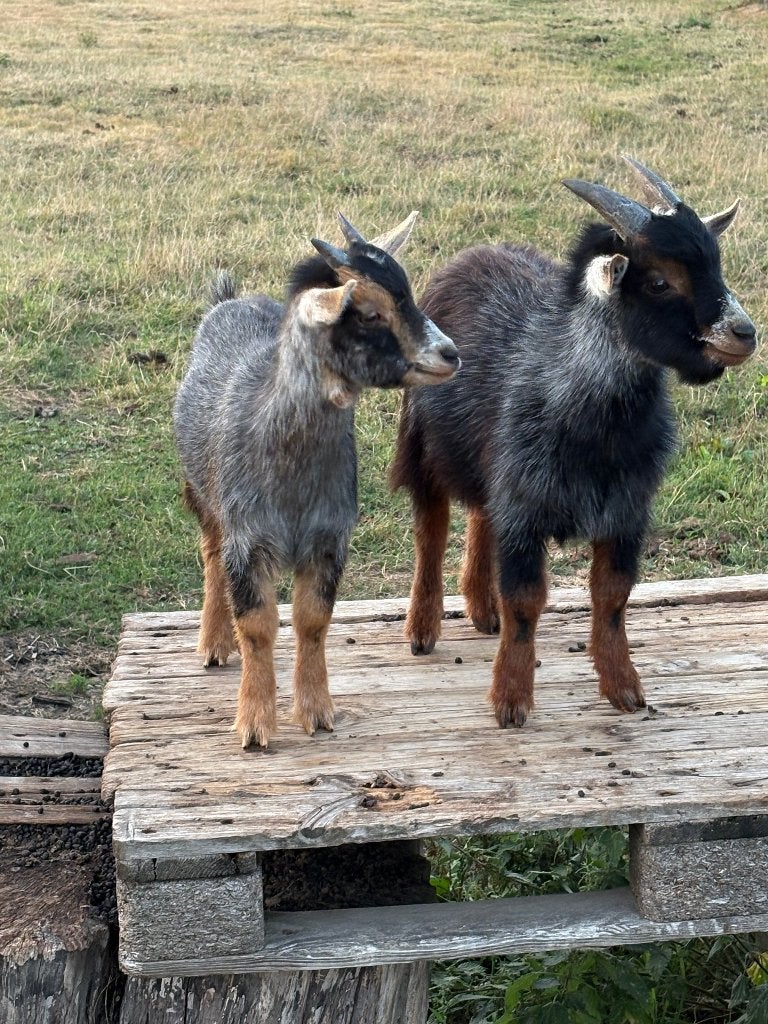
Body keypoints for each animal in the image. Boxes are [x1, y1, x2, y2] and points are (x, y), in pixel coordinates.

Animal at [174, 212, 460, 748]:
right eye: (368, 312)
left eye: (409, 290)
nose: (450, 354)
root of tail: (229, 301)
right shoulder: (249, 538)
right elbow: (258, 625)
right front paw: (254, 725)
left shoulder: (329, 538)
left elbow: (312, 621)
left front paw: (317, 712)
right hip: (201, 493)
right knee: (210, 553)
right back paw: (215, 643)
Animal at [391, 158, 756, 728]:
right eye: (658, 280)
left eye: (716, 265)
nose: (744, 333)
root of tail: (472, 253)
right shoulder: (524, 504)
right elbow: (525, 601)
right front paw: (511, 700)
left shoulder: (626, 508)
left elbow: (612, 596)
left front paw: (624, 688)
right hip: (423, 442)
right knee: (431, 526)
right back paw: (423, 629)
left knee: (480, 513)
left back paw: (482, 609)